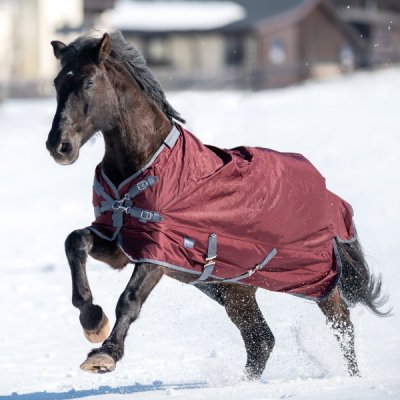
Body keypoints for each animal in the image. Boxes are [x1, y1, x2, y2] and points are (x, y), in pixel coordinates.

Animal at [45, 32, 390, 380]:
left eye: (89, 81)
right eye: (58, 82)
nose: (59, 146)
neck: (145, 164)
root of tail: (330, 196)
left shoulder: (158, 253)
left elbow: (129, 299)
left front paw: (105, 354)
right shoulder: (121, 242)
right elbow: (75, 241)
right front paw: (92, 319)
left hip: (315, 278)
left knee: (341, 322)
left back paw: (353, 377)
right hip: (236, 290)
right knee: (260, 340)